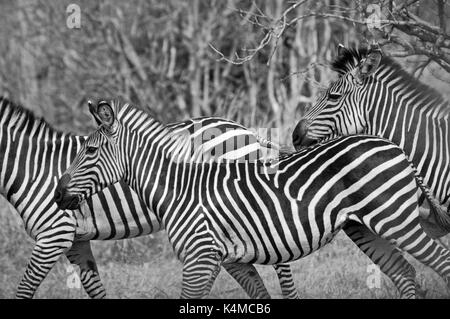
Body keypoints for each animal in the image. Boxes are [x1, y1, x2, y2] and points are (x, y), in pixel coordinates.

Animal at [0, 97, 298, 300]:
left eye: (91, 151)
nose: (58, 196)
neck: (31, 165)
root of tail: (242, 127)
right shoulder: (76, 240)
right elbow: (95, 288)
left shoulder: (54, 234)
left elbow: (25, 288)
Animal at [55, 99, 450, 298]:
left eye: (89, 150)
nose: (58, 196)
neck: (178, 188)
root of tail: (394, 145)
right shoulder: (230, 259)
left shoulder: (199, 258)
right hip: (365, 226)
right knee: (404, 272)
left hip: (396, 219)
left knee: (440, 262)